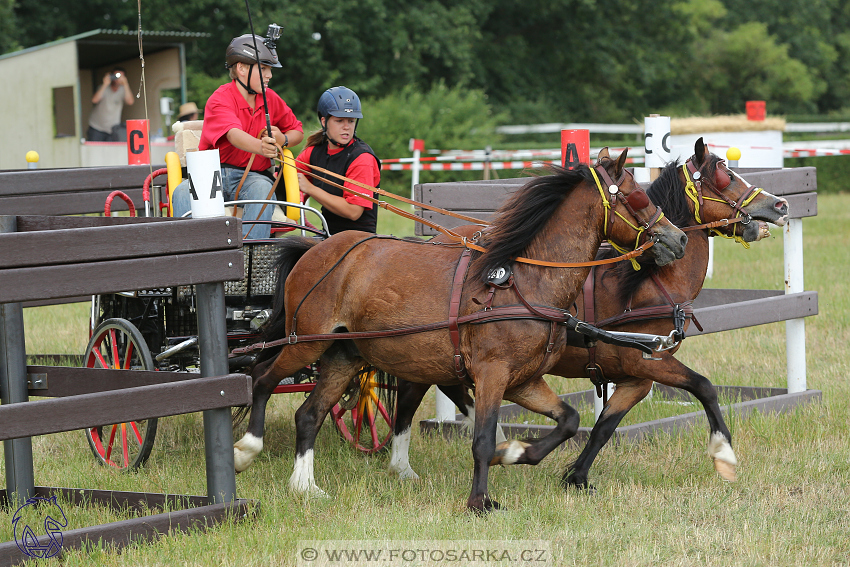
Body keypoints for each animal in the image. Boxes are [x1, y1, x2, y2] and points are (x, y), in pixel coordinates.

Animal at [235, 149, 684, 512]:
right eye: (637, 196)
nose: (677, 238)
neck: (523, 280)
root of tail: (315, 250)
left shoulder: (523, 380)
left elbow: (569, 420)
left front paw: (516, 454)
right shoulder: (491, 374)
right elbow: (482, 439)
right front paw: (479, 501)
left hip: (344, 355)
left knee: (309, 415)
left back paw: (304, 486)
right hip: (305, 343)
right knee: (261, 378)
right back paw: (247, 450)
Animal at [390, 140, 788, 490]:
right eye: (726, 175)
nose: (781, 204)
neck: (648, 282)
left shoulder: (635, 378)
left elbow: (604, 428)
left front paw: (576, 476)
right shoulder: (649, 362)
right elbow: (704, 386)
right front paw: (724, 454)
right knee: (411, 395)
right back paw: (403, 467)